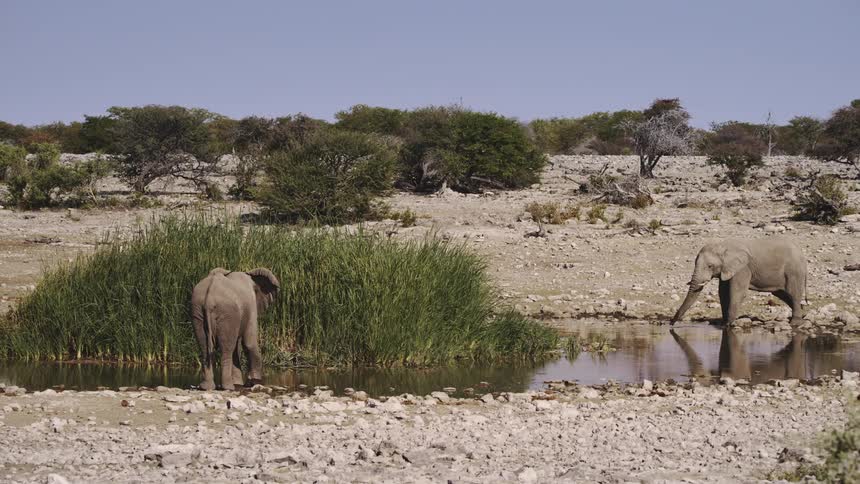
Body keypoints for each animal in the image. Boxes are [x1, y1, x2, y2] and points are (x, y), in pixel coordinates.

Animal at [670, 238, 807, 326]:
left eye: (710, 266)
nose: (671, 324)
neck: (723, 246)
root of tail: (801, 253)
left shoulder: (743, 268)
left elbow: (736, 292)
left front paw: (729, 325)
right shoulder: (727, 269)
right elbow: (723, 293)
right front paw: (724, 323)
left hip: (794, 271)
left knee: (793, 294)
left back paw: (795, 323)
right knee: (782, 294)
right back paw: (803, 315)